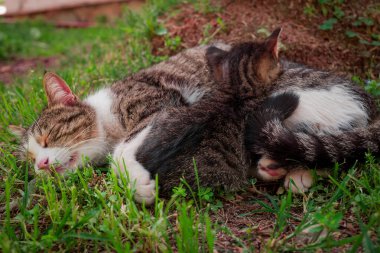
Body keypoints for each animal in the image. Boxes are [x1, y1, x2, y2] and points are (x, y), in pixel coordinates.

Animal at [8, 28, 284, 205]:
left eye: (48, 136)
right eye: (29, 160)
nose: (41, 165)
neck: (108, 124)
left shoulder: (160, 106)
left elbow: (126, 147)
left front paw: (138, 183)